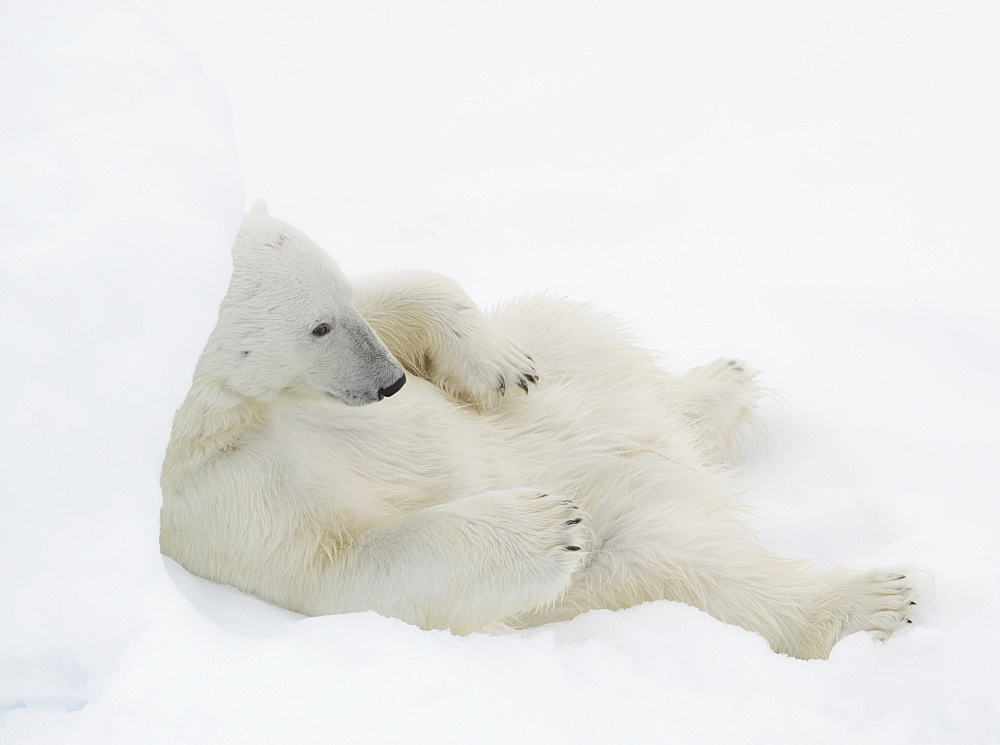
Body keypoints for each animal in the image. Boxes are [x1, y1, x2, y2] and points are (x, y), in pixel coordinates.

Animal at [158, 202, 920, 656]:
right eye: (317, 325)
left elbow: (404, 290)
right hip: (622, 553)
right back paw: (876, 600)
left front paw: (495, 365)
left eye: (336, 302)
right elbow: (346, 569)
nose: (391, 383)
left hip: (574, 362)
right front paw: (548, 525)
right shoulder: (221, 498)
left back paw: (719, 388)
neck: (227, 413)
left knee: (578, 336)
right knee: (701, 575)